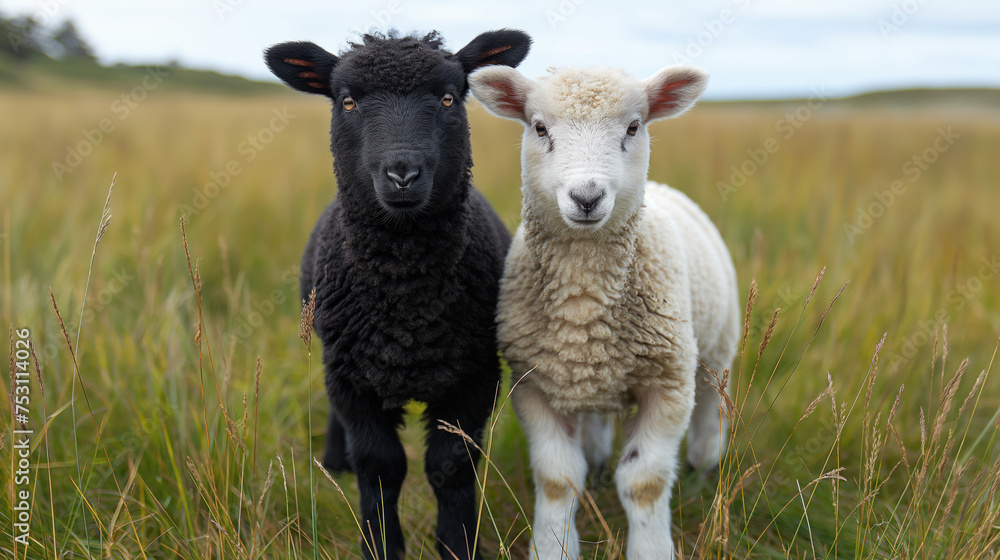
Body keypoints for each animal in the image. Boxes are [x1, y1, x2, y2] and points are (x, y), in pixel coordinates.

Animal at [264, 29, 531, 560]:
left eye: (449, 97)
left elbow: (451, 465)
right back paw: (334, 462)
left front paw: (457, 545)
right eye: (347, 101)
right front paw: (381, 544)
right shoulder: (351, 378)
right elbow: (380, 467)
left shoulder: (475, 374)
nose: (402, 173)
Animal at [470, 64, 740, 559]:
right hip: (586, 378)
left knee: (711, 403)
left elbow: (644, 483)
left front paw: (651, 550)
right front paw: (552, 547)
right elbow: (557, 479)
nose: (587, 196)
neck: (585, 304)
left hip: (717, 346)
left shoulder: (668, 385)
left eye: (633, 127)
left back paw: (704, 464)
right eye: (539, 128)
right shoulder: (533, 385)